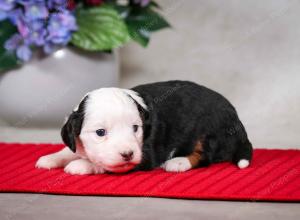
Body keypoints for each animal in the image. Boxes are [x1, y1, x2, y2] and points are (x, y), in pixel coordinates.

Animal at [37, 80, 253, 174]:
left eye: (135, 128)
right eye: (100, 132)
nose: (128, 154)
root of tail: (237, 120)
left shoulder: (146, 154)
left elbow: (106, 164)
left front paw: (81, 165)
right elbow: (69, 150)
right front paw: (50, 158)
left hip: (208, 130)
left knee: (204, 155)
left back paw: (178, 162)